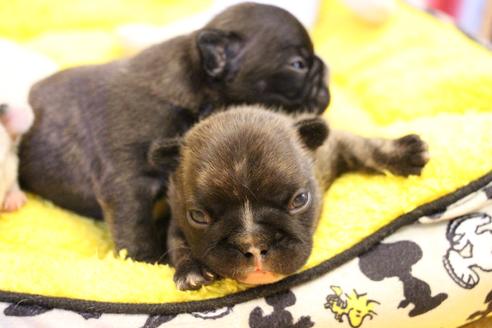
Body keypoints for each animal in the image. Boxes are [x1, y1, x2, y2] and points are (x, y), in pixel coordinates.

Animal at [19, 2, 328, 262]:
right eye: (298, 65)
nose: (324, 68)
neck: (195, 86)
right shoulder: (126, 184)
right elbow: (134, 228)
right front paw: (145, 262)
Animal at [151, 105, 430, 290]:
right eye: (198, 216)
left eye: (300, 200)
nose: (253, 246)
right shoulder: (176, 215)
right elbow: (176, 242)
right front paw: (191, 271)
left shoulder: (333, 146)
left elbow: (363, 147)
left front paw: (403, 153)